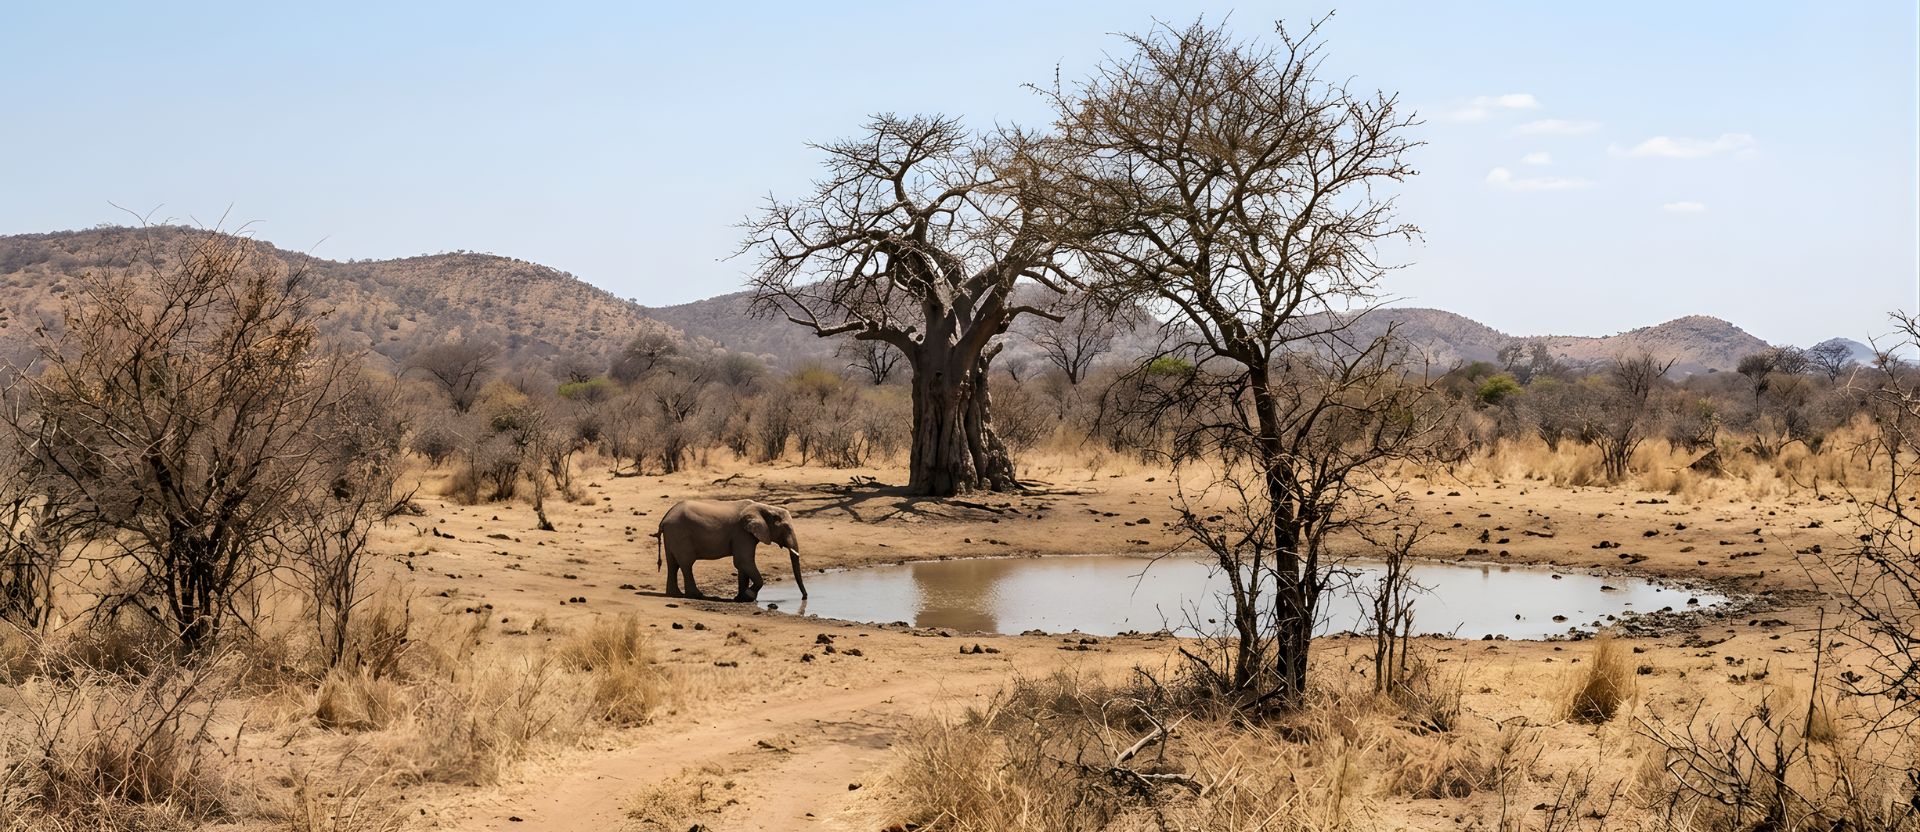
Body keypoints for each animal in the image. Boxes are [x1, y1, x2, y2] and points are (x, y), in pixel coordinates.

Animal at [655, 499, 809, 602]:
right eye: (786, 528)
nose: (805, 597)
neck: (763, 507)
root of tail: (665, 518)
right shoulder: (742, 533)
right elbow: (744, 561)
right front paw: (749, 596)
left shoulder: (746, 534)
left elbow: (742, 565)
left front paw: (741, 598)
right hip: (680, 533)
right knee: (686, 564)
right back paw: (696, 595)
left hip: (673, 534)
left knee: (673, 564)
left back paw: (675, 594)